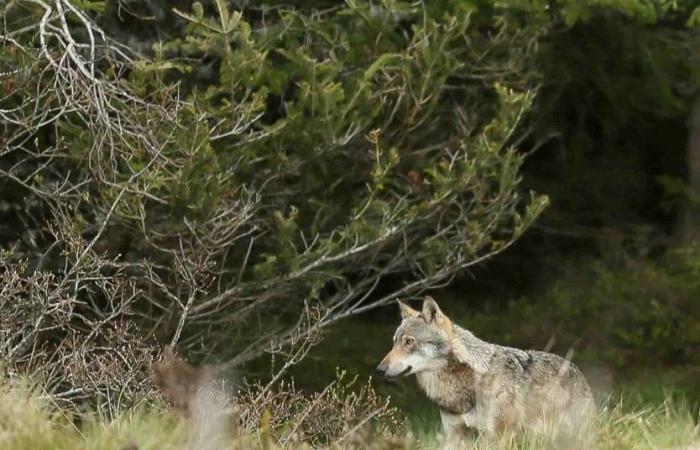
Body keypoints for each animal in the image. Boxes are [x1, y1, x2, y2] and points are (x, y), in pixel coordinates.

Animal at [374, 296, 592, 446]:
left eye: (409, 342)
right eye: (395, 342)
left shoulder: (497, 436)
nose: (379, 369)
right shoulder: (454, 434)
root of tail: (576, 369)